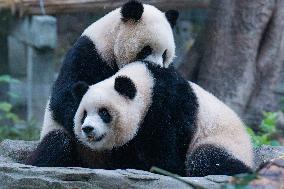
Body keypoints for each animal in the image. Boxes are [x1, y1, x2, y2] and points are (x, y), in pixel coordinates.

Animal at [26, 1, 178, 167]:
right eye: (146, 50)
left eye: (165, 54)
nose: (156, 67)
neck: (110, 39)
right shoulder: (89, 55)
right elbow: (66, 96)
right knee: (57, 144)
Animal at [28, 61, 253, 176]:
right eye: (84, 114)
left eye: (104, 113)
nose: (87, 129)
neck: (147, 82)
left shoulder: (170, 105)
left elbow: (166, 148)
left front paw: (162, 169)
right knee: (58, 144)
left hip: (224, 141)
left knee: (207, 159)